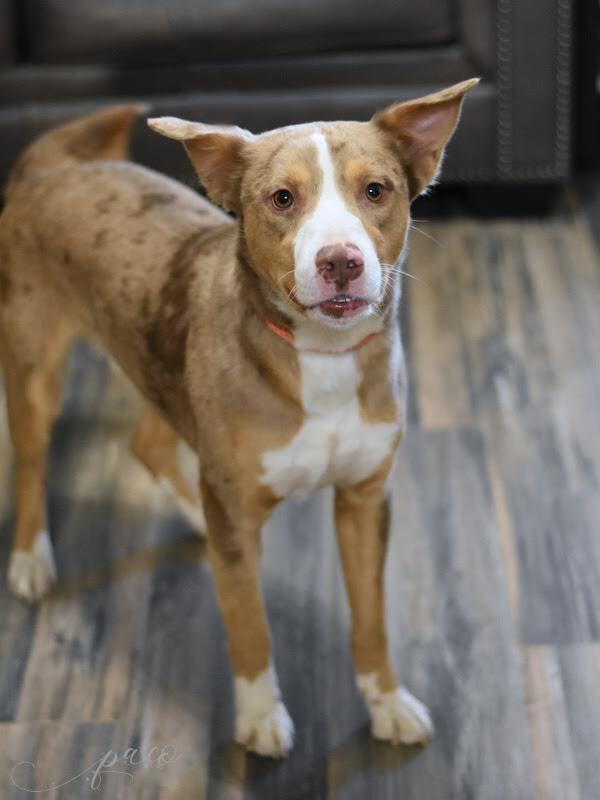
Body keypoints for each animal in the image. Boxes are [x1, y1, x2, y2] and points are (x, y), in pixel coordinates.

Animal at [0, 78, 478, 760]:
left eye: (376, 191)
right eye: (282, 199)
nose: (340, 261)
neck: (321, 356)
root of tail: (52, 170)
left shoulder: (365, 500)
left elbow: (371, 620)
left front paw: (387, 701)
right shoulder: (242, 511)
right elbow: (251, 625)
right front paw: (259, 717)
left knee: (149, 444)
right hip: (34, 367)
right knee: (34, 461)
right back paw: (31, 558)